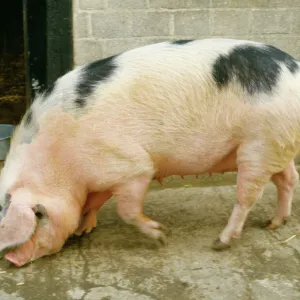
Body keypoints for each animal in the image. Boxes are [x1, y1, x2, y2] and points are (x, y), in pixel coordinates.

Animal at [0, 38, 300, 268]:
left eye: (38, 216)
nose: (12, 260)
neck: (60, 162)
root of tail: (295, 68)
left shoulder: (131, 167)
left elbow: (127, 209)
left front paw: (162, 236)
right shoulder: (101, 178)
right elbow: (95, 201)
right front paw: (83, 229)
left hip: (258, 145)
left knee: (247, 197)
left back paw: (220, 242)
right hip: (276, 143)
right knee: (288, 178)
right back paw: (274, 224)